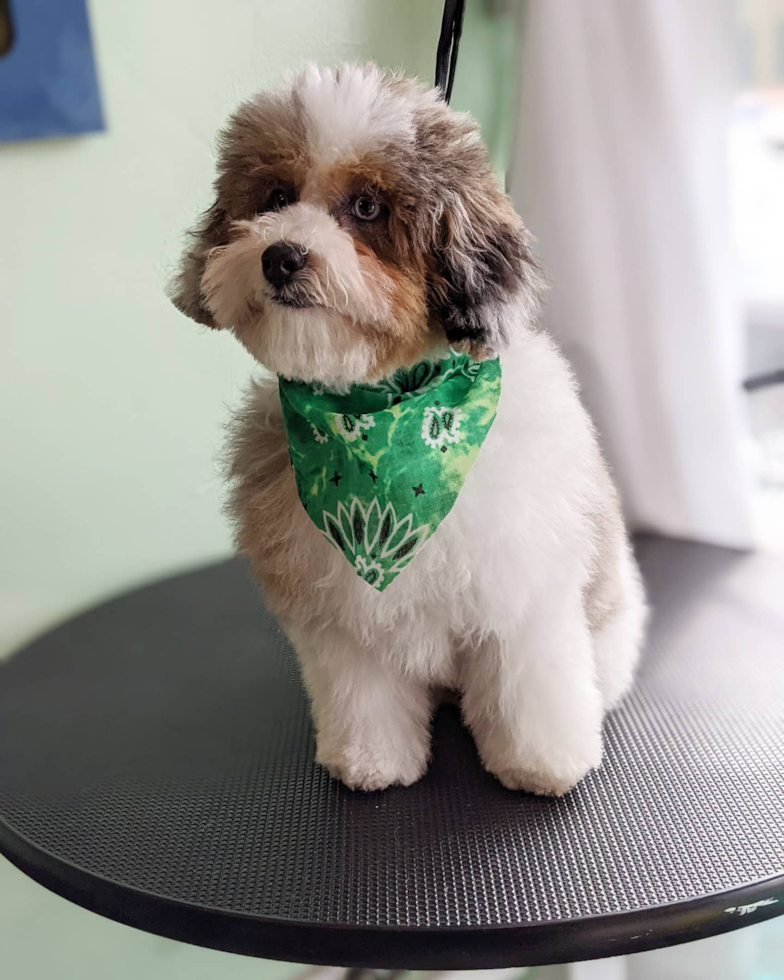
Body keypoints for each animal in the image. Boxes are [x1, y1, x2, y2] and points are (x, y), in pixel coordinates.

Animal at [170, 61, 644, 796]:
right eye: (275, 195)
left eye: (367, 208)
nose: (281, 256)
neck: (383, 417)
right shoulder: (339, 614)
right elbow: (362, 690)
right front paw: (372, 762)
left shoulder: (521, 589)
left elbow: (531, 683)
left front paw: (542, 762)